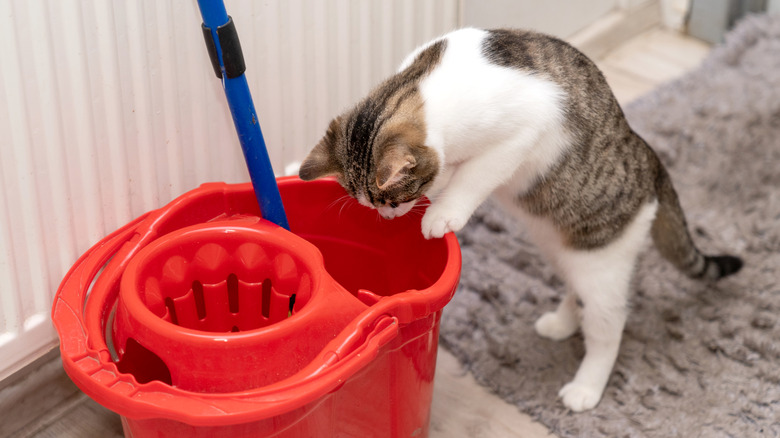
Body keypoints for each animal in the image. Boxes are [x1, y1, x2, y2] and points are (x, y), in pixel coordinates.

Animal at [298, 29, 744, 412]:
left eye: (391, 199)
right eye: (372, 204)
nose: (387, 215)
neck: (423, 78)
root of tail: (652, 162)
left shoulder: (520, 135)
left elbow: (473, 176)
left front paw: (442, 214)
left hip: (602, 262)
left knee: (609, 323)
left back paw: (586, 387)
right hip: (561, 249)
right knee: (575, 291)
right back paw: (562, 322)